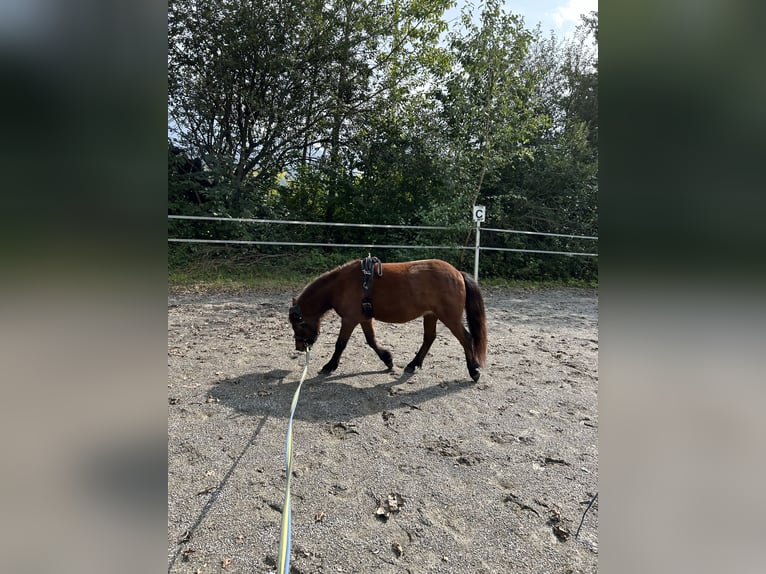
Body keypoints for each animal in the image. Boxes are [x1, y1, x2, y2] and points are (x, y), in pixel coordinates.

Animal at [288, 260, 486, 382]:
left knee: (466, 339)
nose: (299, 347)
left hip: (449, 317)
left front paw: (329, 366)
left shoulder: (349, 320)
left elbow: (340, 344)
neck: (341, 285)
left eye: (298, 324)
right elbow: (371, 341)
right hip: (431, 315)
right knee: (429, 338)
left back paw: (474, 371)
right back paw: (413, 364)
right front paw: (387, 360)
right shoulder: (364, 318)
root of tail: (457, 273)